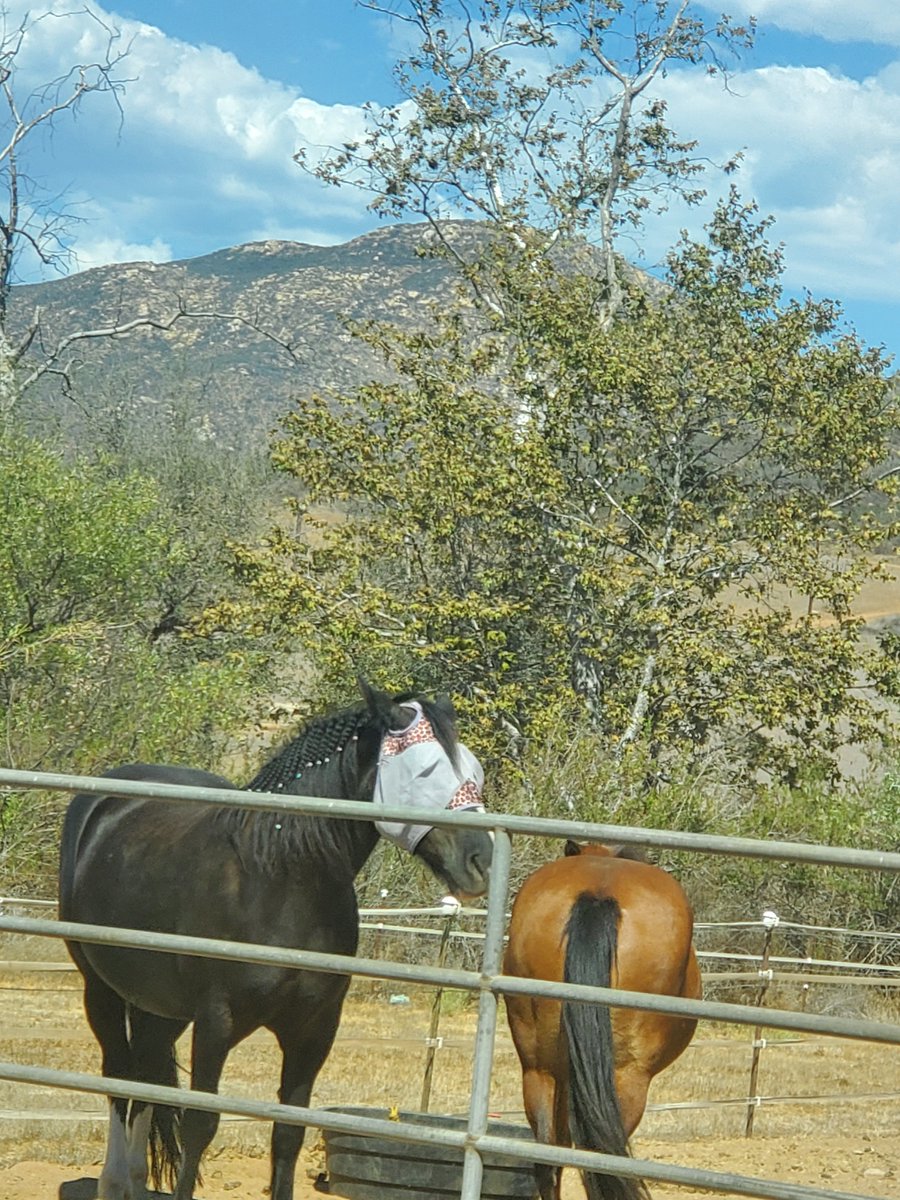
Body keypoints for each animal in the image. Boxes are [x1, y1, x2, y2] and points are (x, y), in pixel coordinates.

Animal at [59, 681, 493, 1200]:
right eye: (425, 770)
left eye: (474, 770)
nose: (480, 860)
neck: (280, 878)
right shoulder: (216, 1022)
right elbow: (201, 1125)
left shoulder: (314, 1030)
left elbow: (288, 1133)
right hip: (100, 990)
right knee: (120, 1078)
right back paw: (114, 1180)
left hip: (161, 1007)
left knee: (145, 1074)